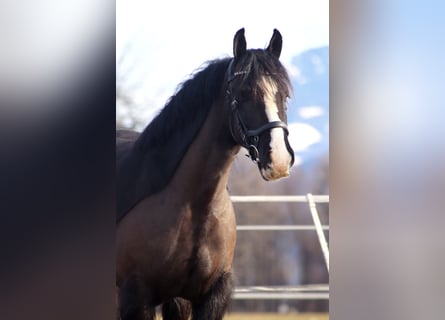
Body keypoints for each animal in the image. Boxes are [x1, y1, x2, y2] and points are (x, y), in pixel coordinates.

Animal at [116, 28, 294, 320]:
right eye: (243, 93)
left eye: (285, 95)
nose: (278, 160)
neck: (194, 207)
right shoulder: (136, 298)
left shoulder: (202, 298)